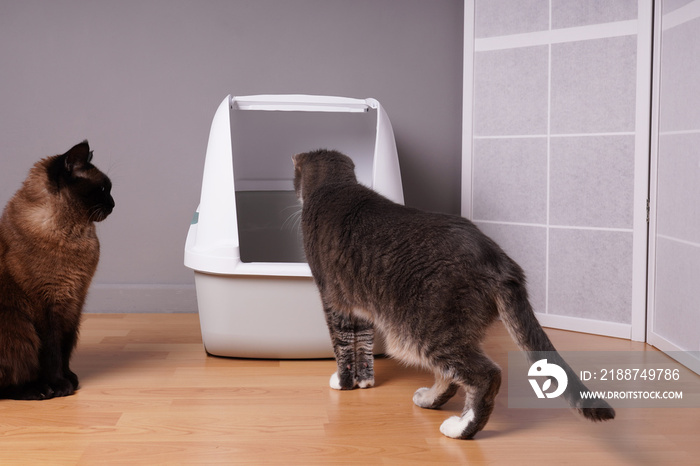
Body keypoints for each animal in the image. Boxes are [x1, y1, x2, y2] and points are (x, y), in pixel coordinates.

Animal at [0, 140, 113, 398]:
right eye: (103, 189)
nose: (114, 204)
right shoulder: (47, 303)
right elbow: (51, 351)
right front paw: (60, 385)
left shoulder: (74, 300)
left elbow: (65, 346)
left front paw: (70, 378)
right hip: (18, 326)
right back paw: (39, 390)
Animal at [292, 150, 616, 440]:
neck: (334, 186)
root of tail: (499, 260)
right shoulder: (358, 306)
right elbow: (363, 344)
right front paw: (365, 382)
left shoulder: (332, 299)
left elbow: (343, 345)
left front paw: (343, 382)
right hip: (450, 330)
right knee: (449, 375)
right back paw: (429, 400)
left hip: (425, 330)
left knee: (485, 375)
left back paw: (460, 429)